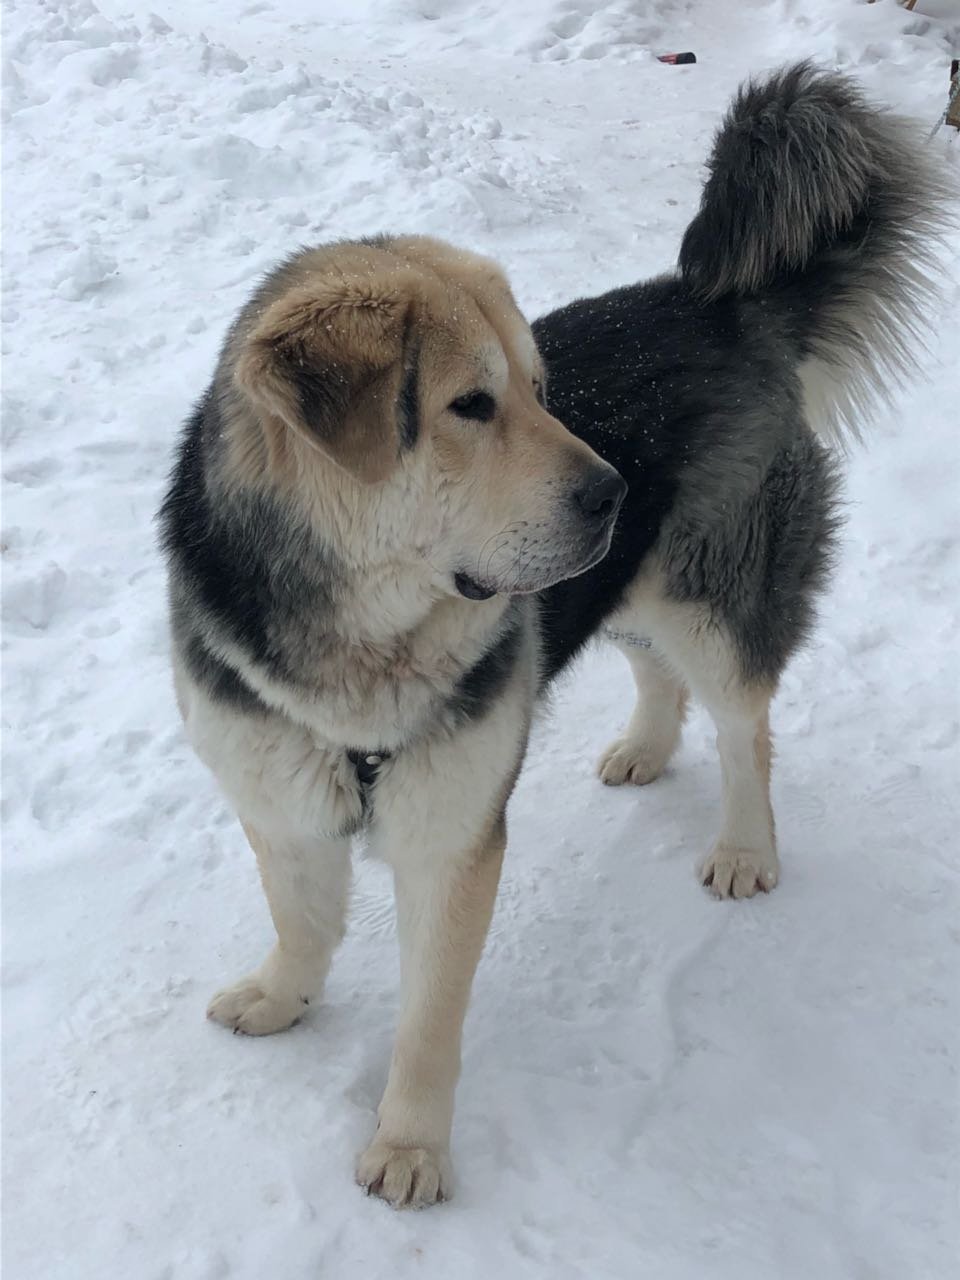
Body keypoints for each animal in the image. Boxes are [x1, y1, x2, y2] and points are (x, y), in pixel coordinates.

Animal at [160, 64, 947, 1203]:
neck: (361, 639)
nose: (615, 491)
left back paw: (745, 846)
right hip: (621, 586)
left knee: (743, 726)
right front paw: (281, 997)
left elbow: (429, 1020)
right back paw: (645, 750)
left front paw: (410, 1146)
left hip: (707, 597)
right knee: (657, 676)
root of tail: (719, 307)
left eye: (541, 391)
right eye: (471, 404)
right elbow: (300, 921)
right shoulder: (276, 787)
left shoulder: (453, 840)